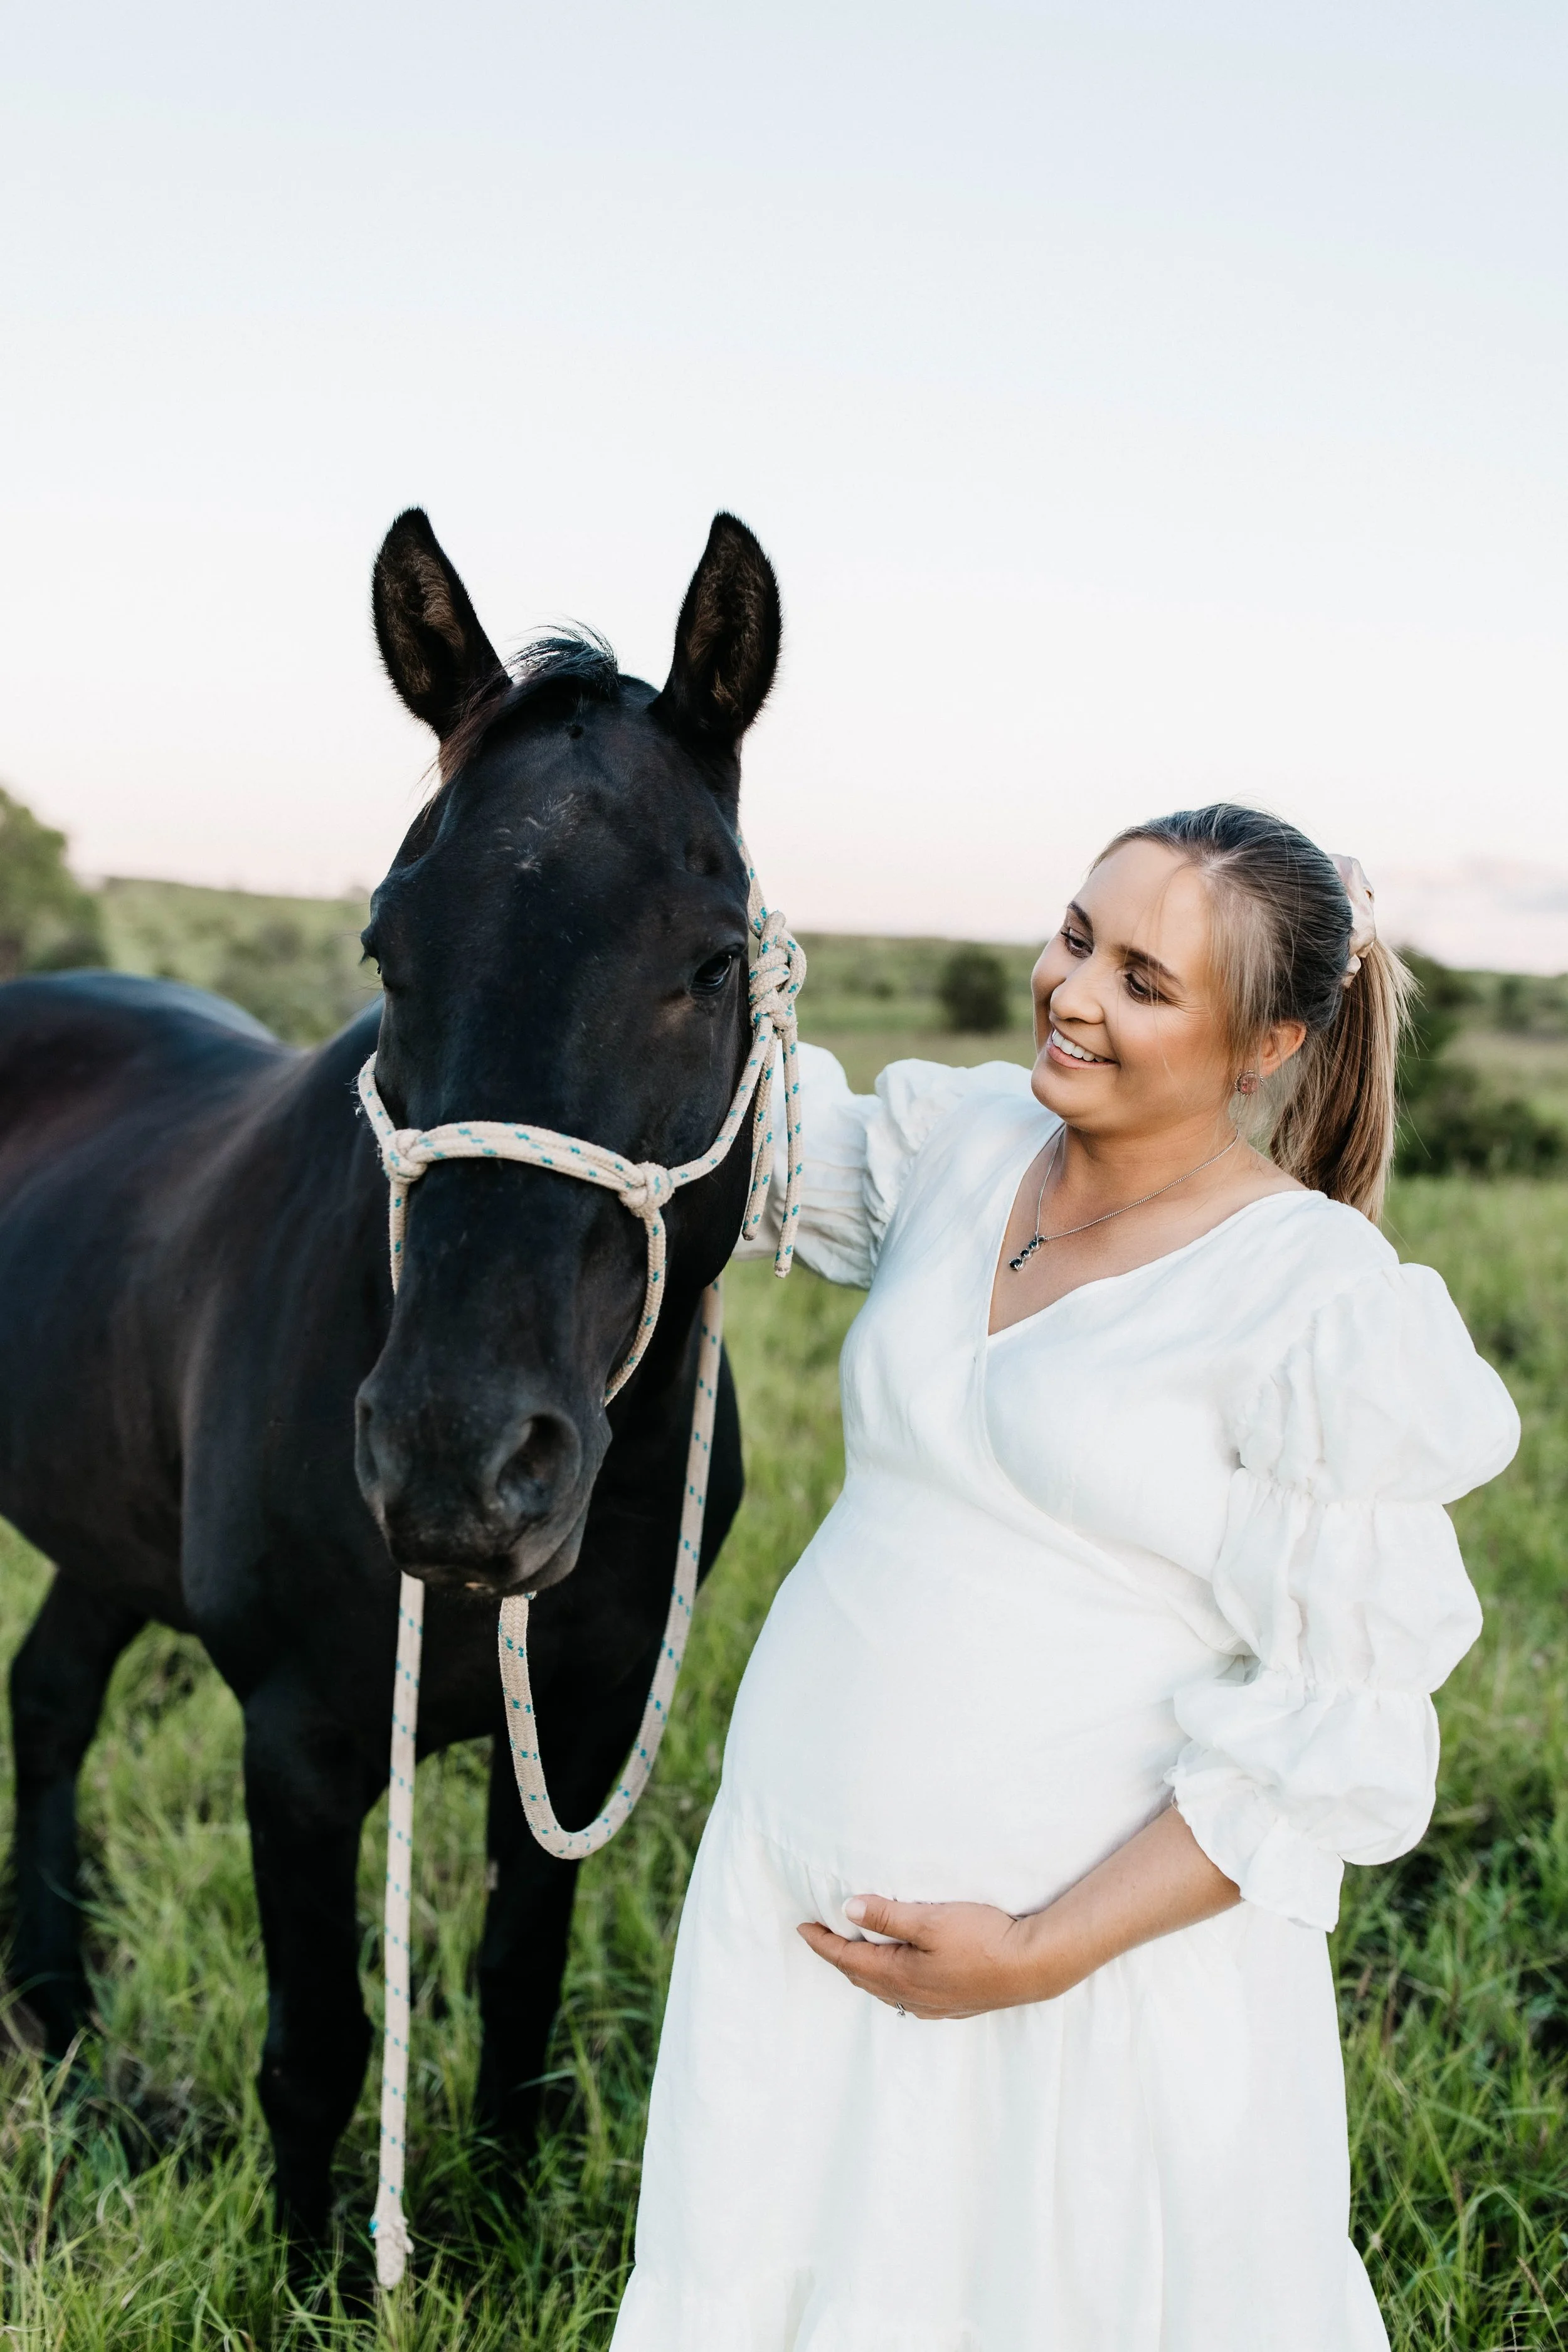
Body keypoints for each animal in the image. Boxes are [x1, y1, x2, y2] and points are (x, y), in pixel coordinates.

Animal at [0, 506, 782, 2240]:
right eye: (385, 949)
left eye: (711, 961)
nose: (456, 1462)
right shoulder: (294, 1740)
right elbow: (319, 2048)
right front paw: (304, 2266)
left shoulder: (583, 1725)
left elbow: (517, 1989)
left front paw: (499, 2216)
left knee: (51, 1693)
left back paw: (55, 2010)